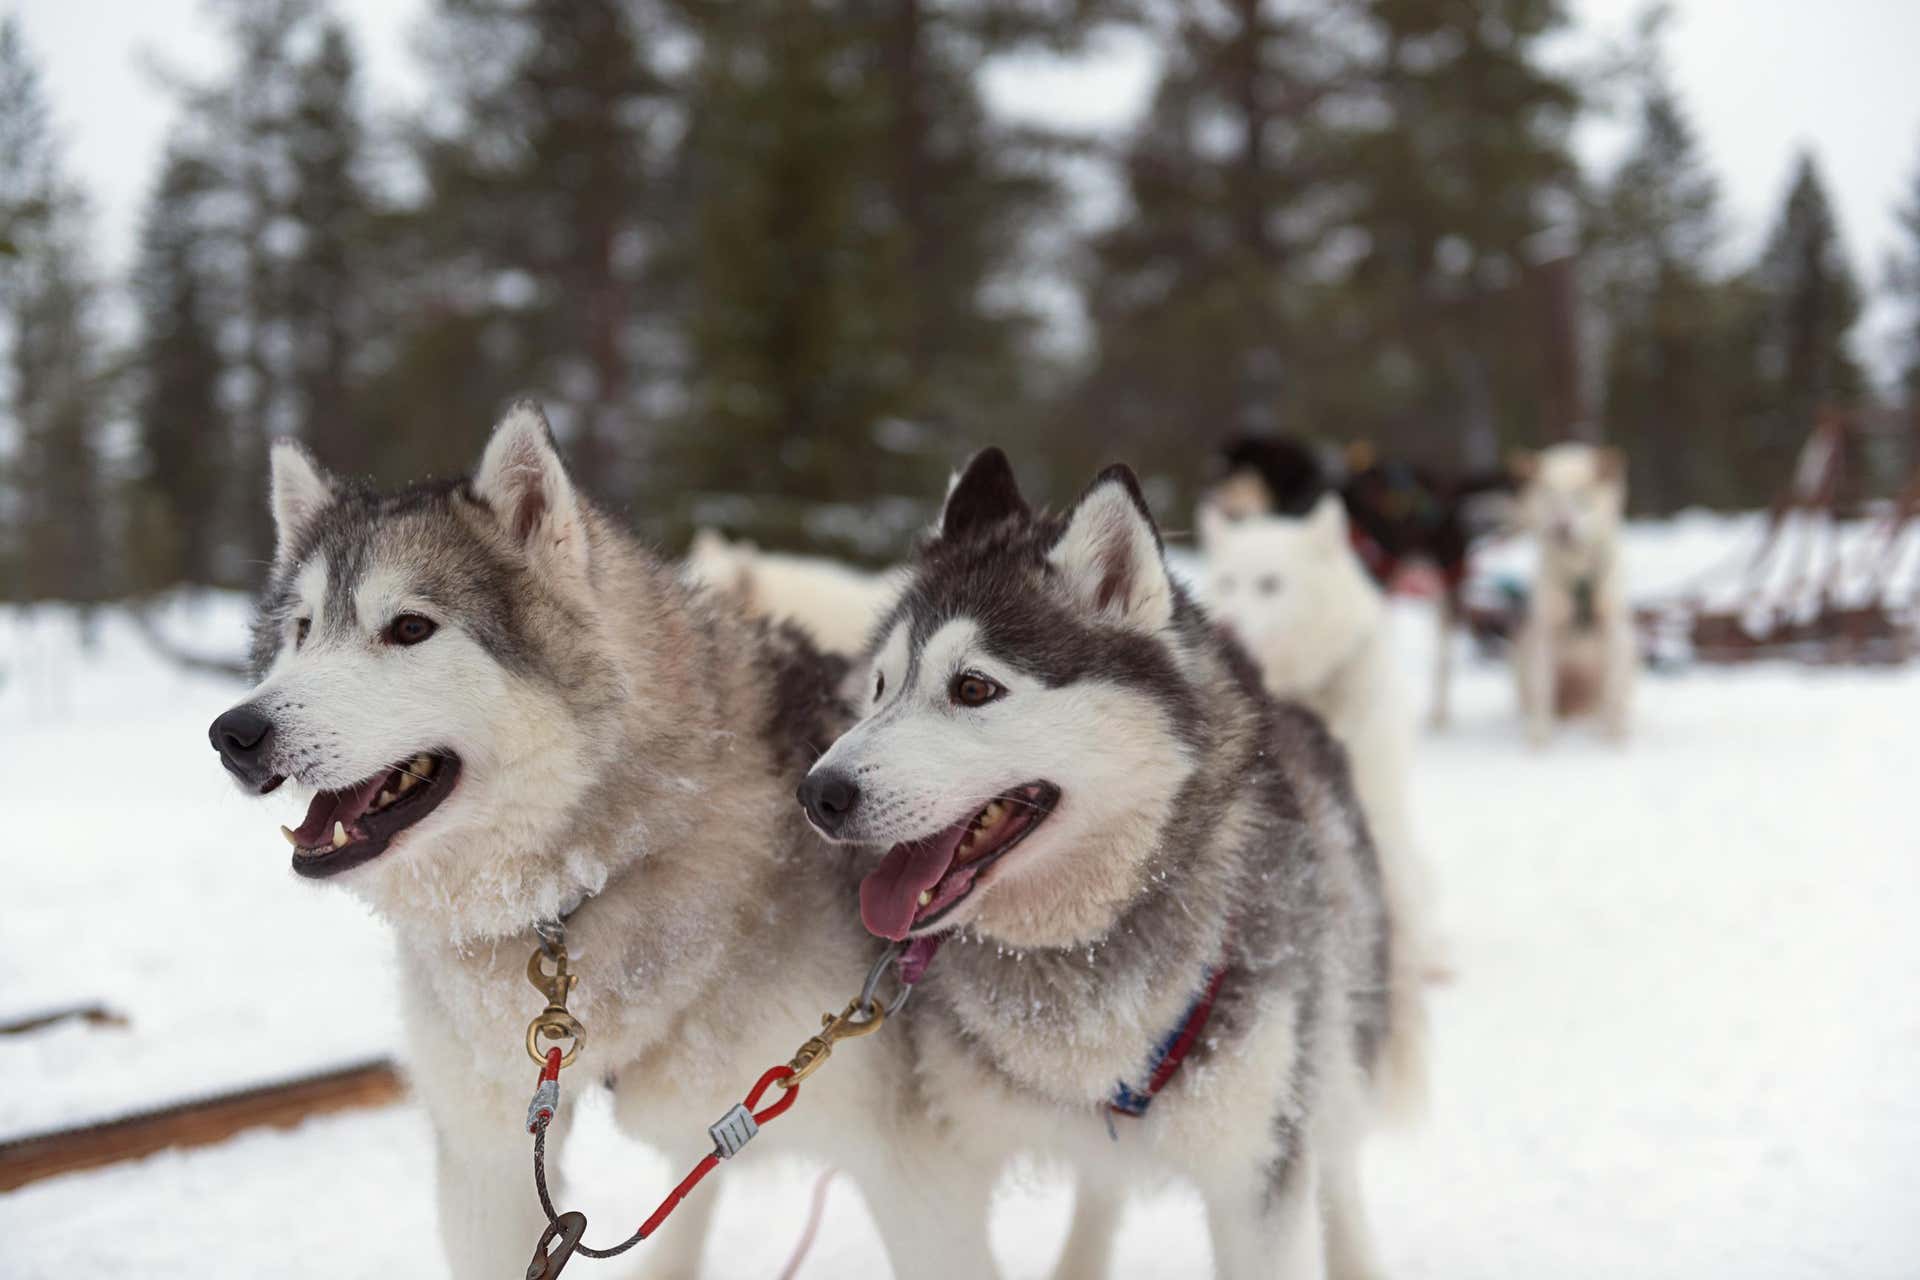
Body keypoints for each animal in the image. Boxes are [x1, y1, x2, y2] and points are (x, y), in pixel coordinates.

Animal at [1512, 443, 1635, 744]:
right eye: (1550, 499)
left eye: (1582, 498)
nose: (1561, 527)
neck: (1578, 573)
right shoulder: (1546, 631)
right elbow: (1542, 690)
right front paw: (1539, 738)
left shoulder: (1613, 629)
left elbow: (1614, 693)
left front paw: (1616, 738)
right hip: (1523, 653)